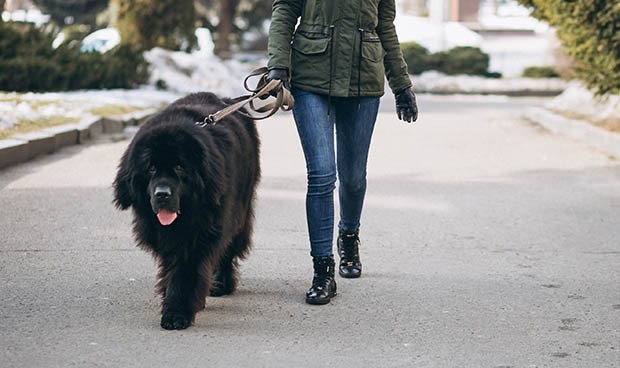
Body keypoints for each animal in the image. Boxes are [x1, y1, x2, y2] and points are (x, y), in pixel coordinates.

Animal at [113, 92, 260, 330]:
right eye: (151, 168)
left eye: (179, 167)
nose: (162, 194)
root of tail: (228, 100)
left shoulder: (200, 234)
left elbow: (185, 271)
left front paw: (176, 312)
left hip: (240, 210)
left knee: (229, 247)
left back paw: (221, 283)